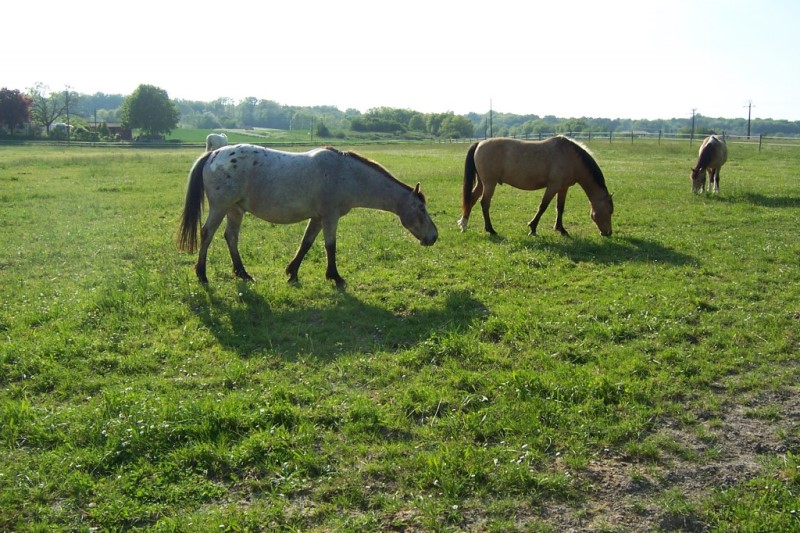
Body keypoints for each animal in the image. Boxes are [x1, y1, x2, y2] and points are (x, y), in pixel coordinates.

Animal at [177, 144, 438, 286]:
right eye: (421, 209)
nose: (434, 236)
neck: (347, 174)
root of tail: (214, 154)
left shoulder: (318, 218)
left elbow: (306, 243)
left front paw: (292, 273)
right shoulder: (330, 216)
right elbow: (330, 246)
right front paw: (335, 277)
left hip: (235, 210)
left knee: (230, 237)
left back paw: (243, 273)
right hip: (221, 207)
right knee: (207, 234)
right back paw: (202, 274)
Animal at [458, 136, 614, 237]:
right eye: (610, 211)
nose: (608, 233)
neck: (569, 156)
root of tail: (479, 143)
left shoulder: (563, 188)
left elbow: (560, 208)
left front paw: (561, 229)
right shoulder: (553, 186)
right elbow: (543, 207)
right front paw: (532, 228)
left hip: (482, 183)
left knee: (471, 200)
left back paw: (464, 224)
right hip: (489, 183)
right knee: (484, 203)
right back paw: (490, 229)